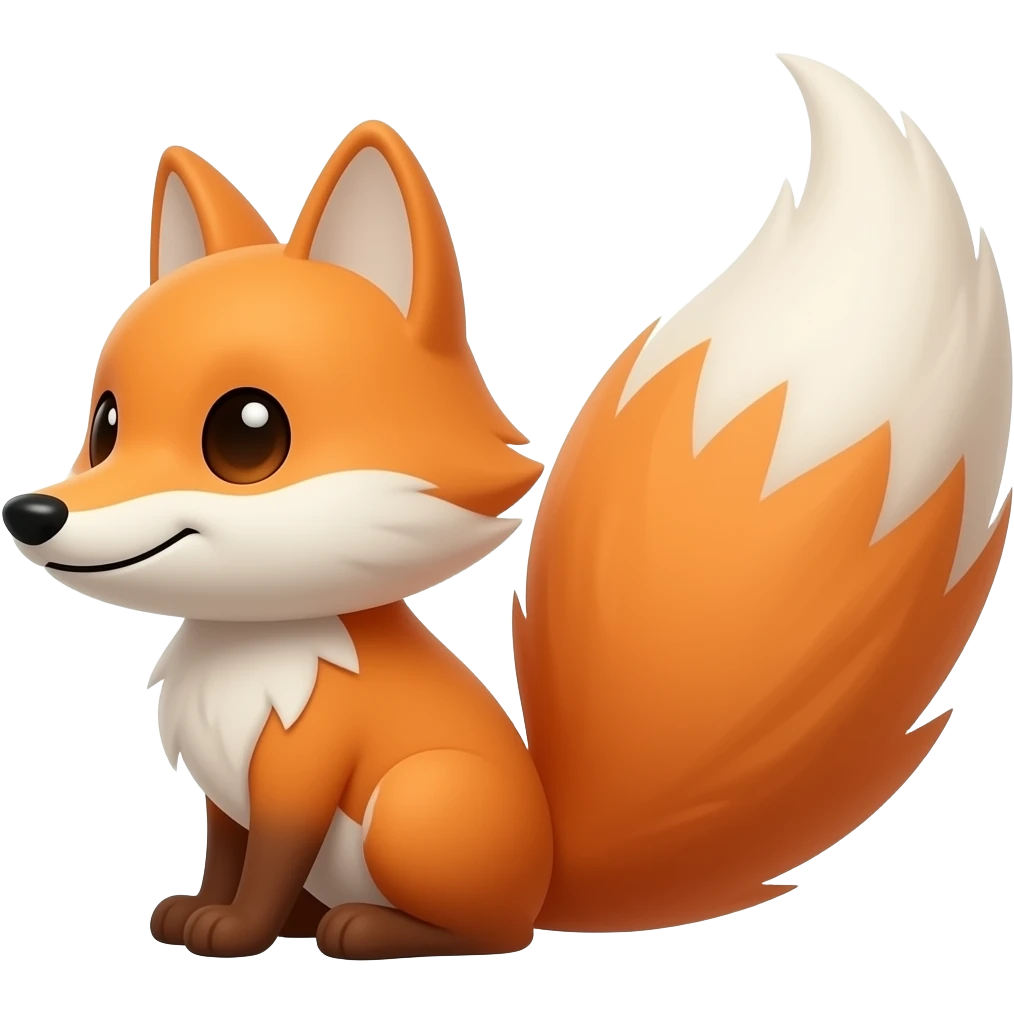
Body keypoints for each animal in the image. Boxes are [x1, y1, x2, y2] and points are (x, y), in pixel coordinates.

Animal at [3, 53, 1011, 961]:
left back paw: (365, 930)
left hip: (416, 806)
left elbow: (268, 862)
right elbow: (226, 855)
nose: (33, 513)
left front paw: (236, 932)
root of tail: (547, 875)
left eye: (247, 435)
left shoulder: (298, 771)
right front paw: (197, 912)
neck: (250, 650)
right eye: (105, 424)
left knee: (486, 934)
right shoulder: (227, 790)